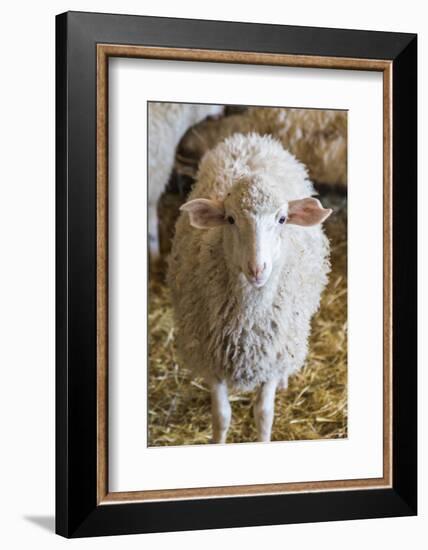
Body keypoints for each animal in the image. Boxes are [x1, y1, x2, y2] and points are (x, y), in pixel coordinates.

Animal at [169, 133, 332, 444]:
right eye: (230, 219)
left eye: (282, 219)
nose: (257, 269)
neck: (248, 325)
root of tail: (251, 139)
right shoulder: (212, 360)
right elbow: (221, 416)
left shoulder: (271, 359)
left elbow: (264, 414)